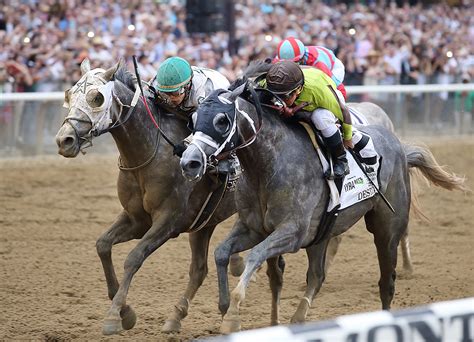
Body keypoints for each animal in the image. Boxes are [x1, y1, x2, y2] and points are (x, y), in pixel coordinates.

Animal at [55, 58, 246, 334]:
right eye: (69, 95)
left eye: (96, 98)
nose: (64, 140)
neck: (150, 153)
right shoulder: (137, 218)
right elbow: (103, 245)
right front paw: (126, 312)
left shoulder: (168, 221)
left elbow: (134, 258)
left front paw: (114, 316)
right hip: (205, 222)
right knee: (199, 269)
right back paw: (177, 315)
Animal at [180, 79, 464, 332]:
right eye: (193, 119)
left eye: (221, 121)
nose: (189, 162)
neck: (268, 165)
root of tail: (401, 147)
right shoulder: (253, 228)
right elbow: (221, 253)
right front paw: (224, 306)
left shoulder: (293, 232)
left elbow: (255, 255)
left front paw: (233, 315)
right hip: (322, 233)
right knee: (317, 275)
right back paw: (298, 318)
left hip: (386, 228)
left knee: (386, 281)